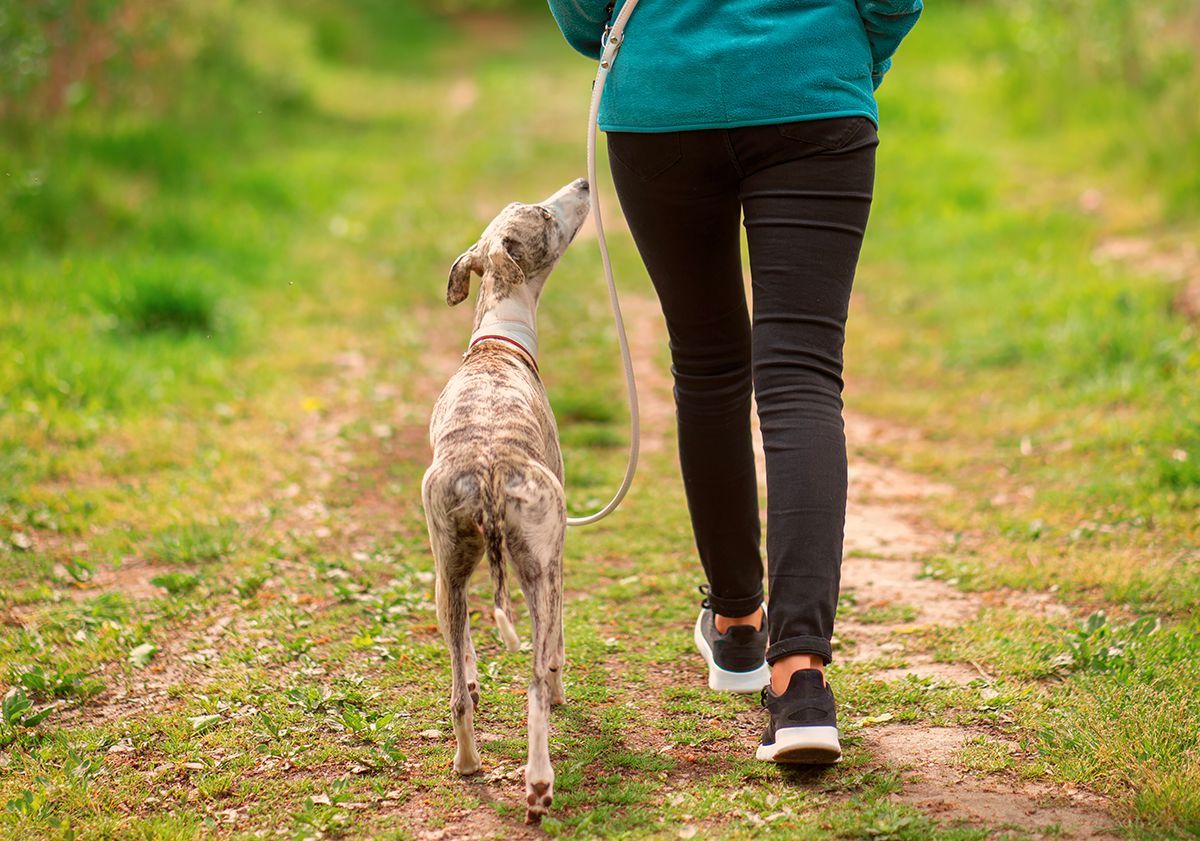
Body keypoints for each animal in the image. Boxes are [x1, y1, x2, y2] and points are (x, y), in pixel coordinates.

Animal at [422, 175, 590, 820]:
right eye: (543, 213)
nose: (586, 181)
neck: (498, 342)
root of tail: (490, 474)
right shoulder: (557, 561)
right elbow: (557, 653)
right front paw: (565, 689)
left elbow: (466, 660)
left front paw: (472, 678)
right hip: (537, 568)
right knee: (535, 687)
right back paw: (539, 784)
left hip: (447, 568)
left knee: (456, 692)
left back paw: (468, 764)